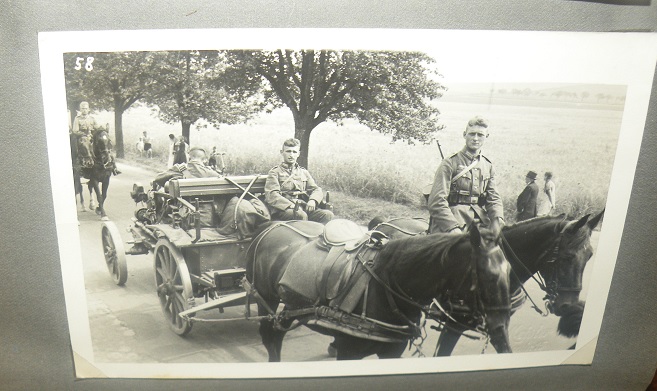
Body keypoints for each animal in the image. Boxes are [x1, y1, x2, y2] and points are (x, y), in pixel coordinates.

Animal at [246, 220, 512, 362]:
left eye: (510, 271)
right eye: (489, 275)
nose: (501, 330)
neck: (384, 285)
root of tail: (274, 224)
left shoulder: (391, 352)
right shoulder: (348, 352)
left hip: (289, 307)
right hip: (266, 298)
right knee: (270, 337)